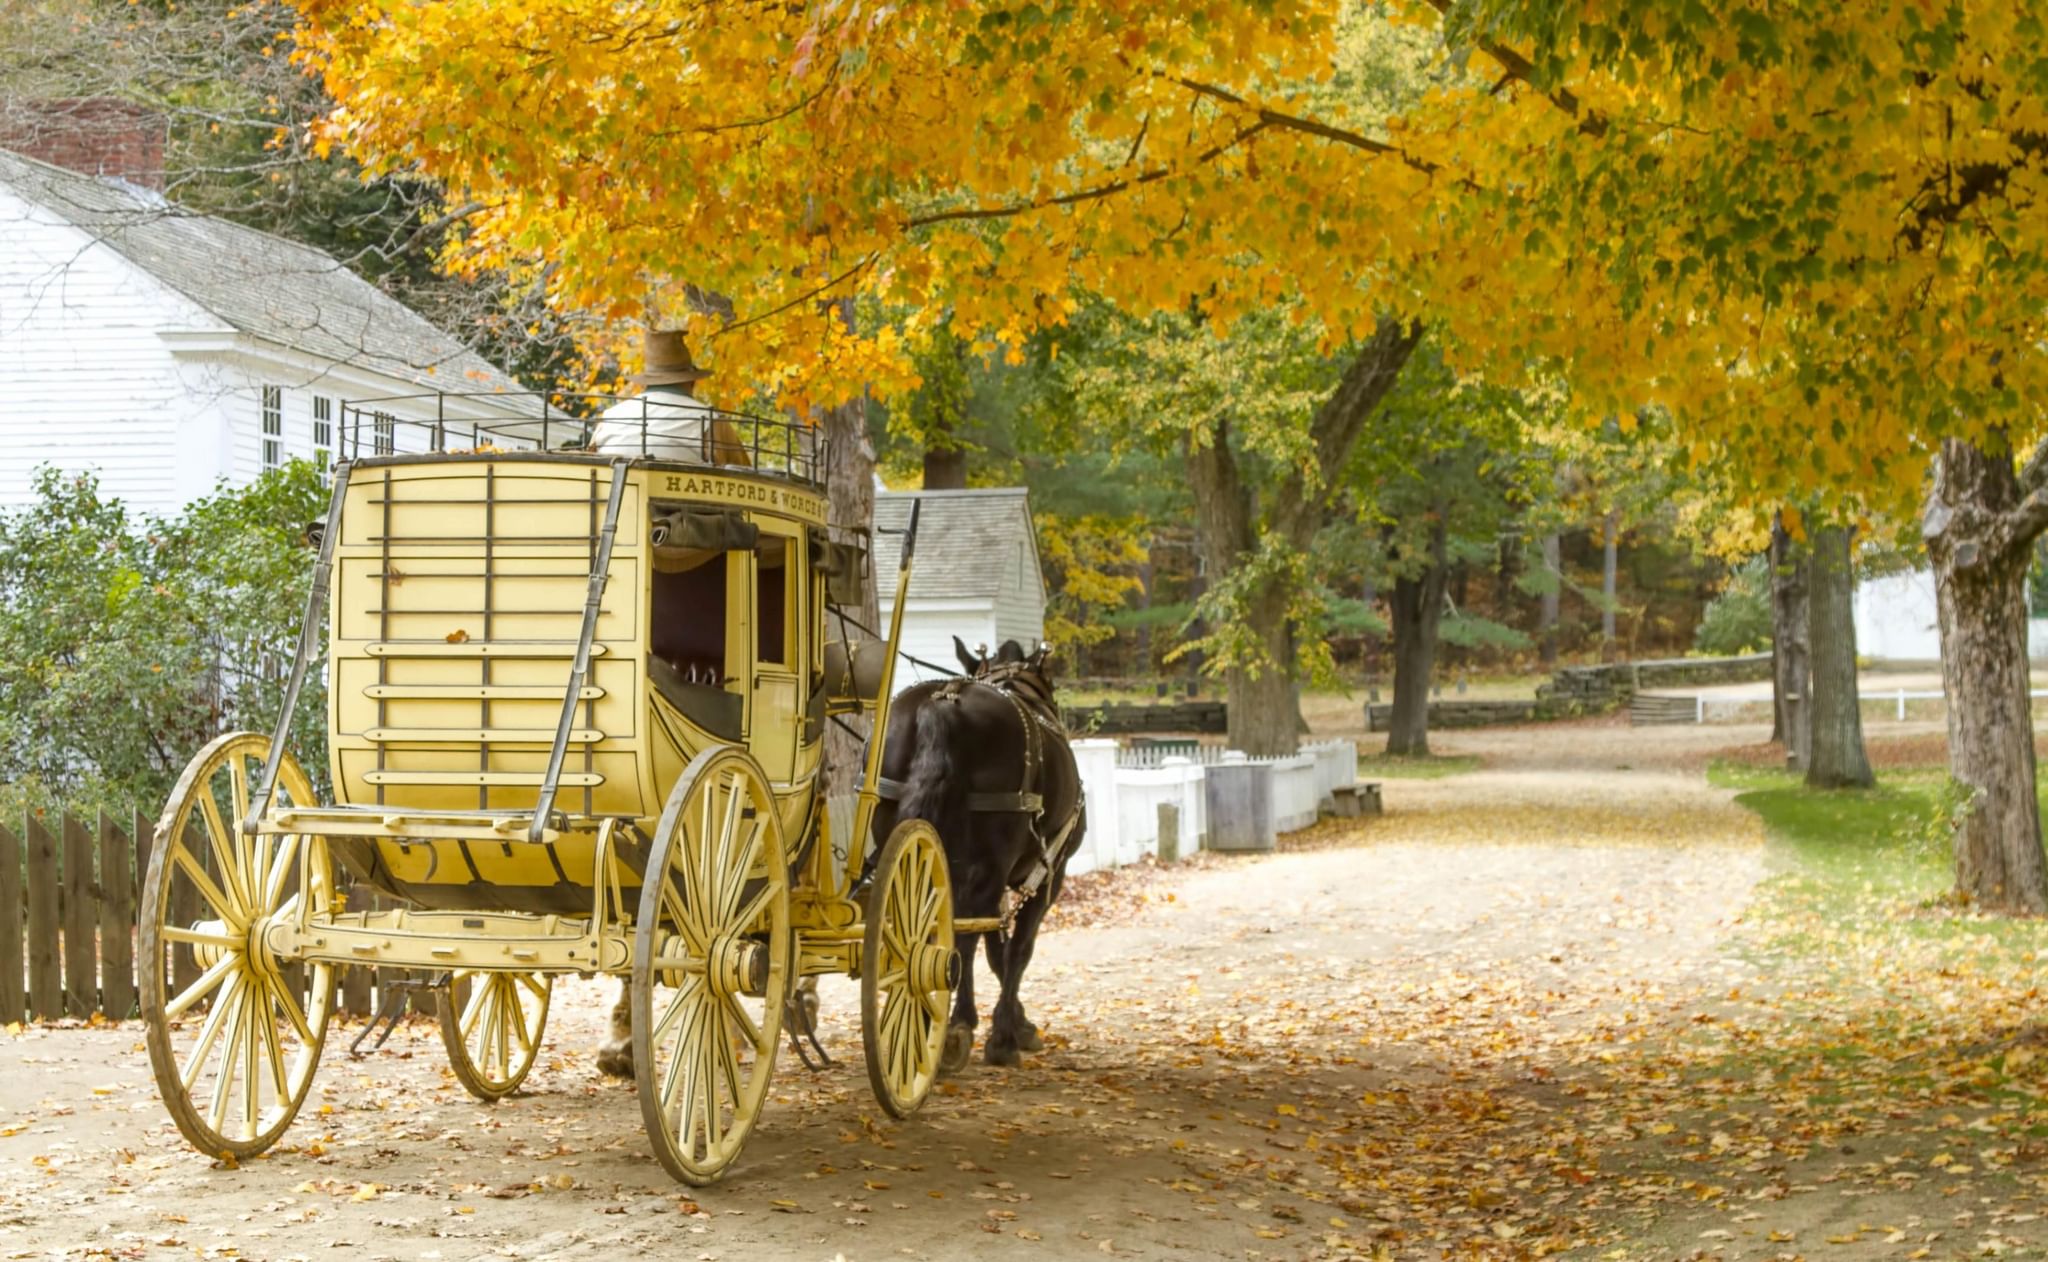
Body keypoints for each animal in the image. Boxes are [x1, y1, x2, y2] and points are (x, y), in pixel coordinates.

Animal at [868, 635, 1089, 1073]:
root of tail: (943, 703)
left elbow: (994, 950)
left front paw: (1015, 1022)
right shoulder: (1049, 873)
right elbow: (1016, 950)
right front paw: (1006, 1033)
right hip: (993, 860)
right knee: (965, 931)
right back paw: (960, 1027)